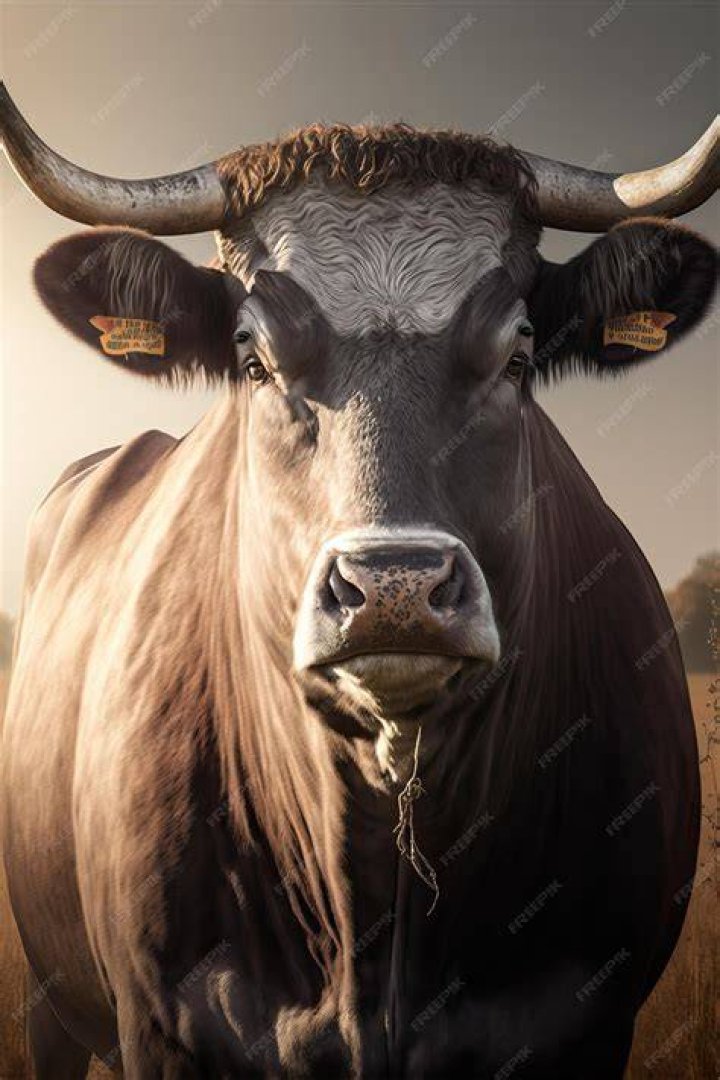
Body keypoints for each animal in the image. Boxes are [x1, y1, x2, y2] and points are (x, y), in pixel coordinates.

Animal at [1, 81, 718, 1078]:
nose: (395, 589)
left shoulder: (590, 1024)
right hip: (47, 1002)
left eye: (519, 355)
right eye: (253, 359)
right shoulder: (161, 1027)